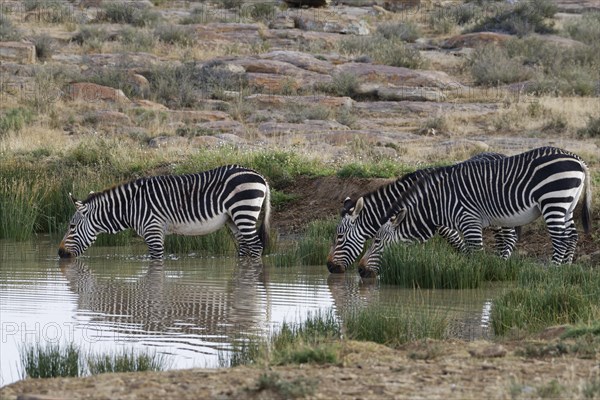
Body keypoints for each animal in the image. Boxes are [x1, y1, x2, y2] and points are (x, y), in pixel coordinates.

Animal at [58, 165, 270, 260]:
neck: (131, 206)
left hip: (244, 212)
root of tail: (261, 176)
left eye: (72, 226)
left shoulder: (153, 230)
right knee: (244, 247)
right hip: (233, 219)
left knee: (256, 246)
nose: (60, 253)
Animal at [326, 152, 516, 274]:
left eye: (340, 237)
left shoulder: (438, 221)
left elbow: (456, 241)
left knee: (510, 238)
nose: (329, 267)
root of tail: (501, 155)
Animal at [358, 147, 592, 278]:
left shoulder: (469, 220)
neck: (437, 204)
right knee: (572, 236)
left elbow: (475, 255)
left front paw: (476, 278)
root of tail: (579, 159)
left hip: (553, 200)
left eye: (377, 241)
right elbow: (470, 253)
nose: (359, 270)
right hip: (567, 205)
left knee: (560, 239)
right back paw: (565, 269)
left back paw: (553, 270)